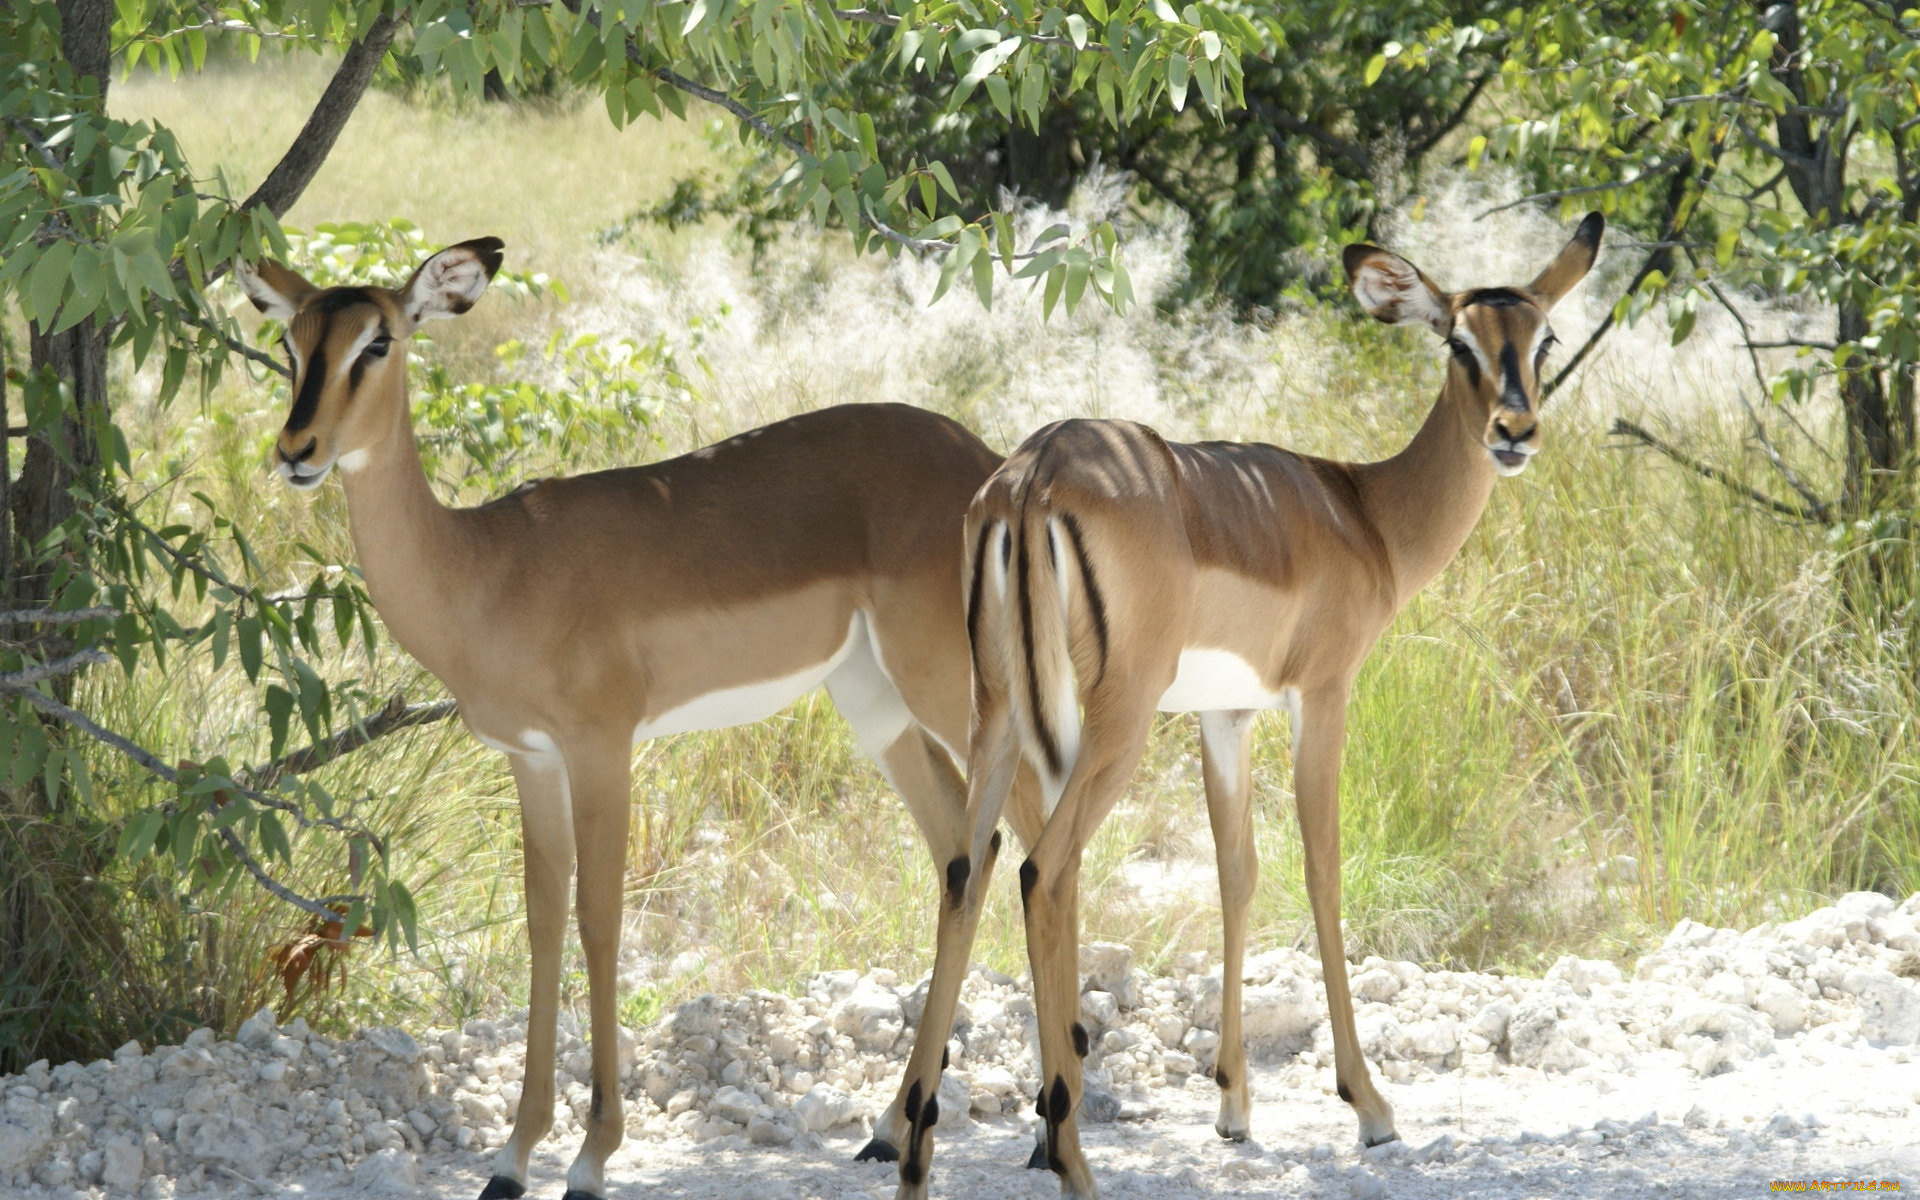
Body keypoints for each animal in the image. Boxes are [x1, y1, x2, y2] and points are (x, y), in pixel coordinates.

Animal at [245, 240, 1044, 1198]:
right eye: (291, 343)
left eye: (378, 341)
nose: (297, 451)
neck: (490, 570)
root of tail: (988, 467)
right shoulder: (531, 759)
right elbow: (543, 917)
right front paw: (512, 1157)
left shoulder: (602, 749)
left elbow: (600, 920)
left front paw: (592, 1155)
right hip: (876, 704)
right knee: (966, 848)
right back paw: (892, 1128)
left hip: (956, 689)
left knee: (1039, 835)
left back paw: (1043, 1137)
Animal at [883, 210, 1605, 1190]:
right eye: (1458, 341)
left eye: (1543, 339)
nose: (1515, 429)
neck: (1364, 513)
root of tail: (1031, 476)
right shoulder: (1322, 694)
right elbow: (1322, 870)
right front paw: (1370, 1108)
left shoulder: (1224, 715)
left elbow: (1236, 873)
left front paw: (1232, 1105)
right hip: (1112, 726)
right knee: (1046, 871)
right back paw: (1067, 1158)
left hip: (993, 714)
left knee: (969, 868)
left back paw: (917, 1154)